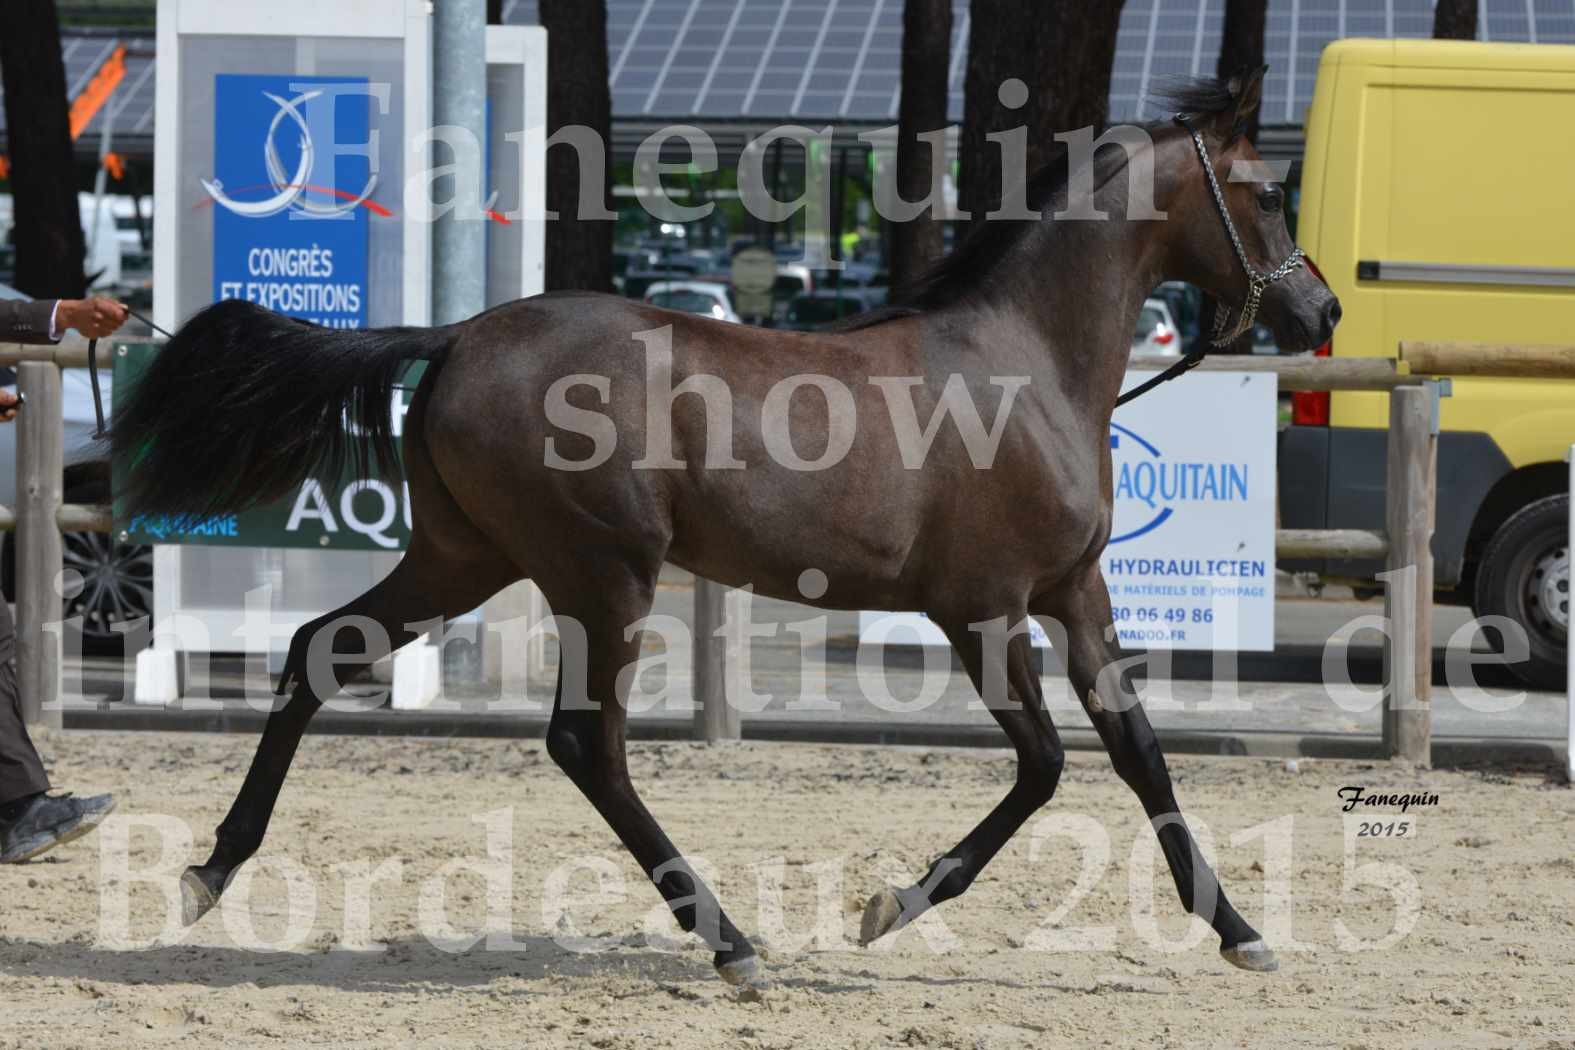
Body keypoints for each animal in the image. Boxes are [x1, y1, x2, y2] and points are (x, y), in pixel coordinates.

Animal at [114, 69, 1341, 988]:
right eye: (1268, 193)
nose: (1319, 309)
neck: (1023, 367)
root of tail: (458, 336)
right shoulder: (981, 609)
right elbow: (1044, 767)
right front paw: (888, 905)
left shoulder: (1074, 593)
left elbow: (1137, 752)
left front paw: (1241, 934)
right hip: (602, 574)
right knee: (587, 746)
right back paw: (731, 943)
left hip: (466, 557)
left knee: (319, 651)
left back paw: (212, 870)